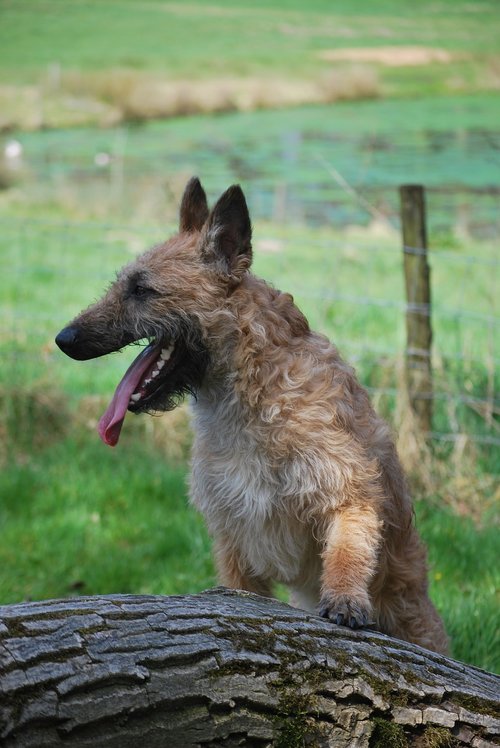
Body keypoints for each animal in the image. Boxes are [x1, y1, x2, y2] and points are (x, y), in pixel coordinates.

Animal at [55, 177, 450, 656]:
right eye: (123, 284)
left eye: (142, 290)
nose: (63, 339)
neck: (251, 395)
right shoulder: (234, 537)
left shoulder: (349, 491)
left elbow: (347, 549)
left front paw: (345, 599)